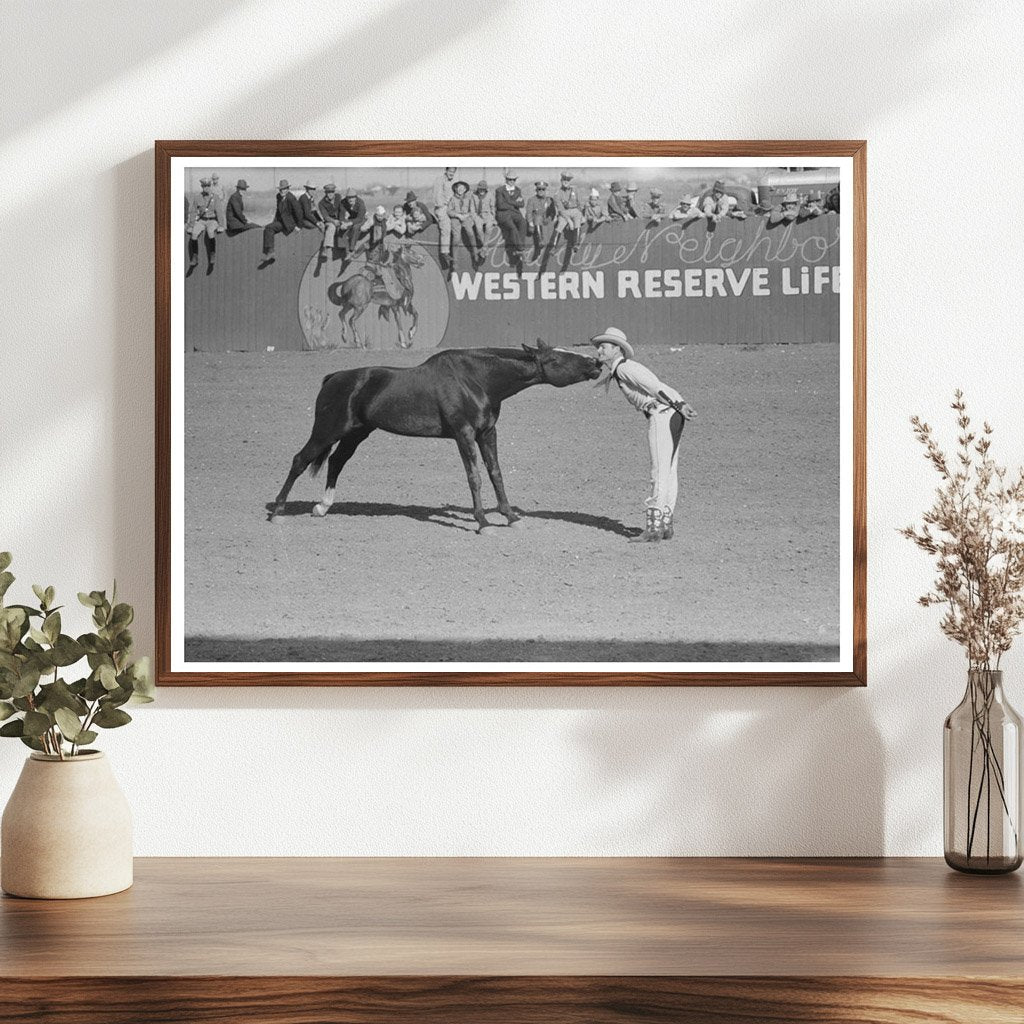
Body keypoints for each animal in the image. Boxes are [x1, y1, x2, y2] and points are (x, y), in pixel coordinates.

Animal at [268, 342, 602, 536]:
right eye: (557, 358)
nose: (597, 364)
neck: (477, 380)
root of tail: (333, 377)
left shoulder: (487, 433)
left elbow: (496, 474)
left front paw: (511, 517)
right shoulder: (464, 434)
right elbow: (475, 477)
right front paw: (483, 523)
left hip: (356, 433)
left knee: (336, 461)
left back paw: (322, 507)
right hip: (328, 430)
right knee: (300, 460)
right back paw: (278, 512)